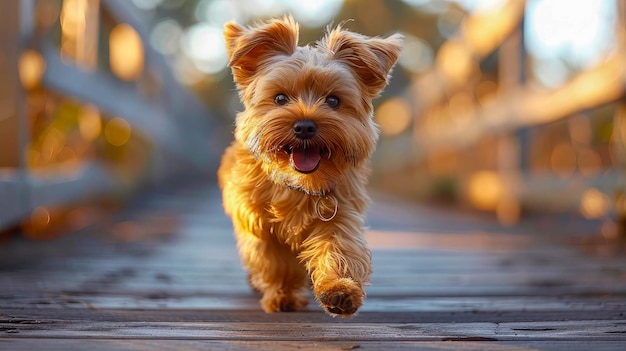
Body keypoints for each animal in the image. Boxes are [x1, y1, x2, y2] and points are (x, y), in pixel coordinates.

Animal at [217, 15, 402, 318]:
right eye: (280, 98)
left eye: (334, 100)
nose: (304, 126)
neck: (300, 183)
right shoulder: (259, 224)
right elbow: (276, 262)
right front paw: (282, 295)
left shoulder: (340, 213)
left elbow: (339, 249)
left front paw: (340, 291)